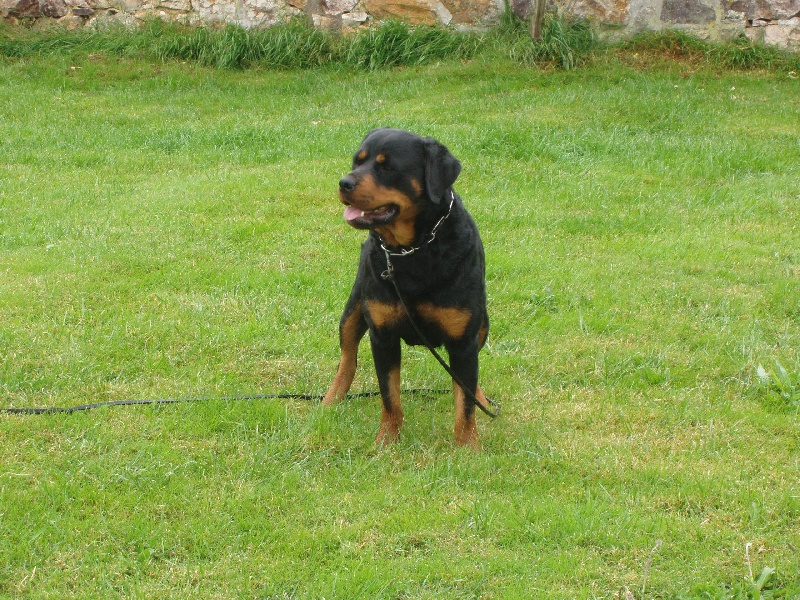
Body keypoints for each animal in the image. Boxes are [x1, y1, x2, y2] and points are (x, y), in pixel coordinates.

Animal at [322, 127, 490, 446]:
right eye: (358, 161)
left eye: (387, 168)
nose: (344, 182)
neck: (412, 250)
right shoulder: (383, 335)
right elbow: (390, 396)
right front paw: (386, 441)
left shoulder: (463, 339)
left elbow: (465, 402)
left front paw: (467, 447)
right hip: (354, 306)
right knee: (347, 356)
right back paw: (331, 398)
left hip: (483, 323)